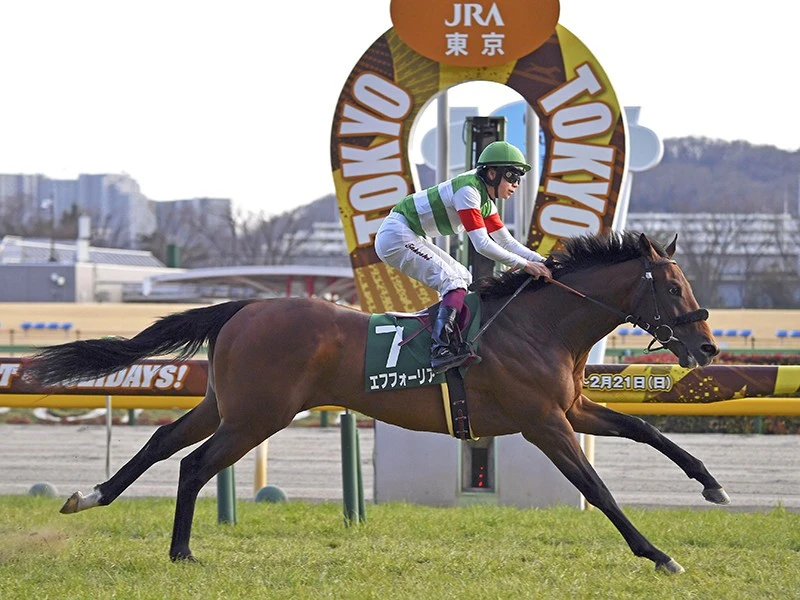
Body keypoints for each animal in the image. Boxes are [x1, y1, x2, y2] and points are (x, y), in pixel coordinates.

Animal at [26, 231, 728, 574]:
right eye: (672, 286)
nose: (707, 346)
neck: (539, 325)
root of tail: (245, 305)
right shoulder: (542, 423)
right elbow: (599, 489)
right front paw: (659, 555)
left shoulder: (571, 410)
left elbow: (646, 430)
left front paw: (711, 485)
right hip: (258, 415)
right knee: (194, 465)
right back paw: (181, 554)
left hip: (226, 405)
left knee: (160, 443)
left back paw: (91, 496)